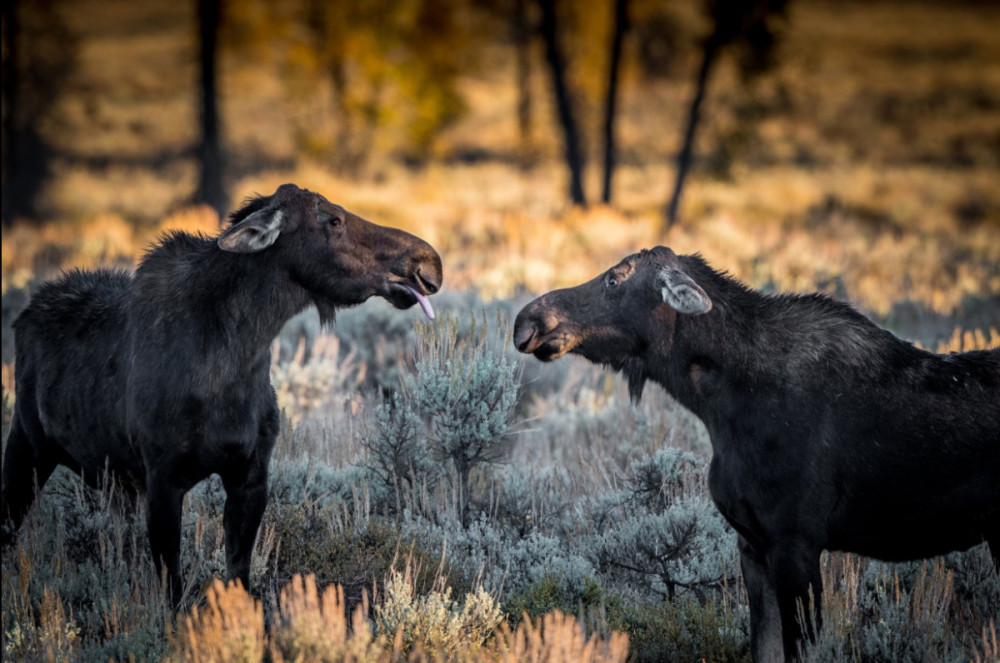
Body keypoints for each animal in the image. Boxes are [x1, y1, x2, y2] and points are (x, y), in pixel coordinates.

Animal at [2, 183, 442, 608]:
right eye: (332, 220)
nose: (428, 262)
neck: (237, 358)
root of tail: (23, 317)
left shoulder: (250, 474)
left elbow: (238, 578)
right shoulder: (162, 479)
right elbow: (172, 592)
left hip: (114, 482)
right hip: (28, 446)